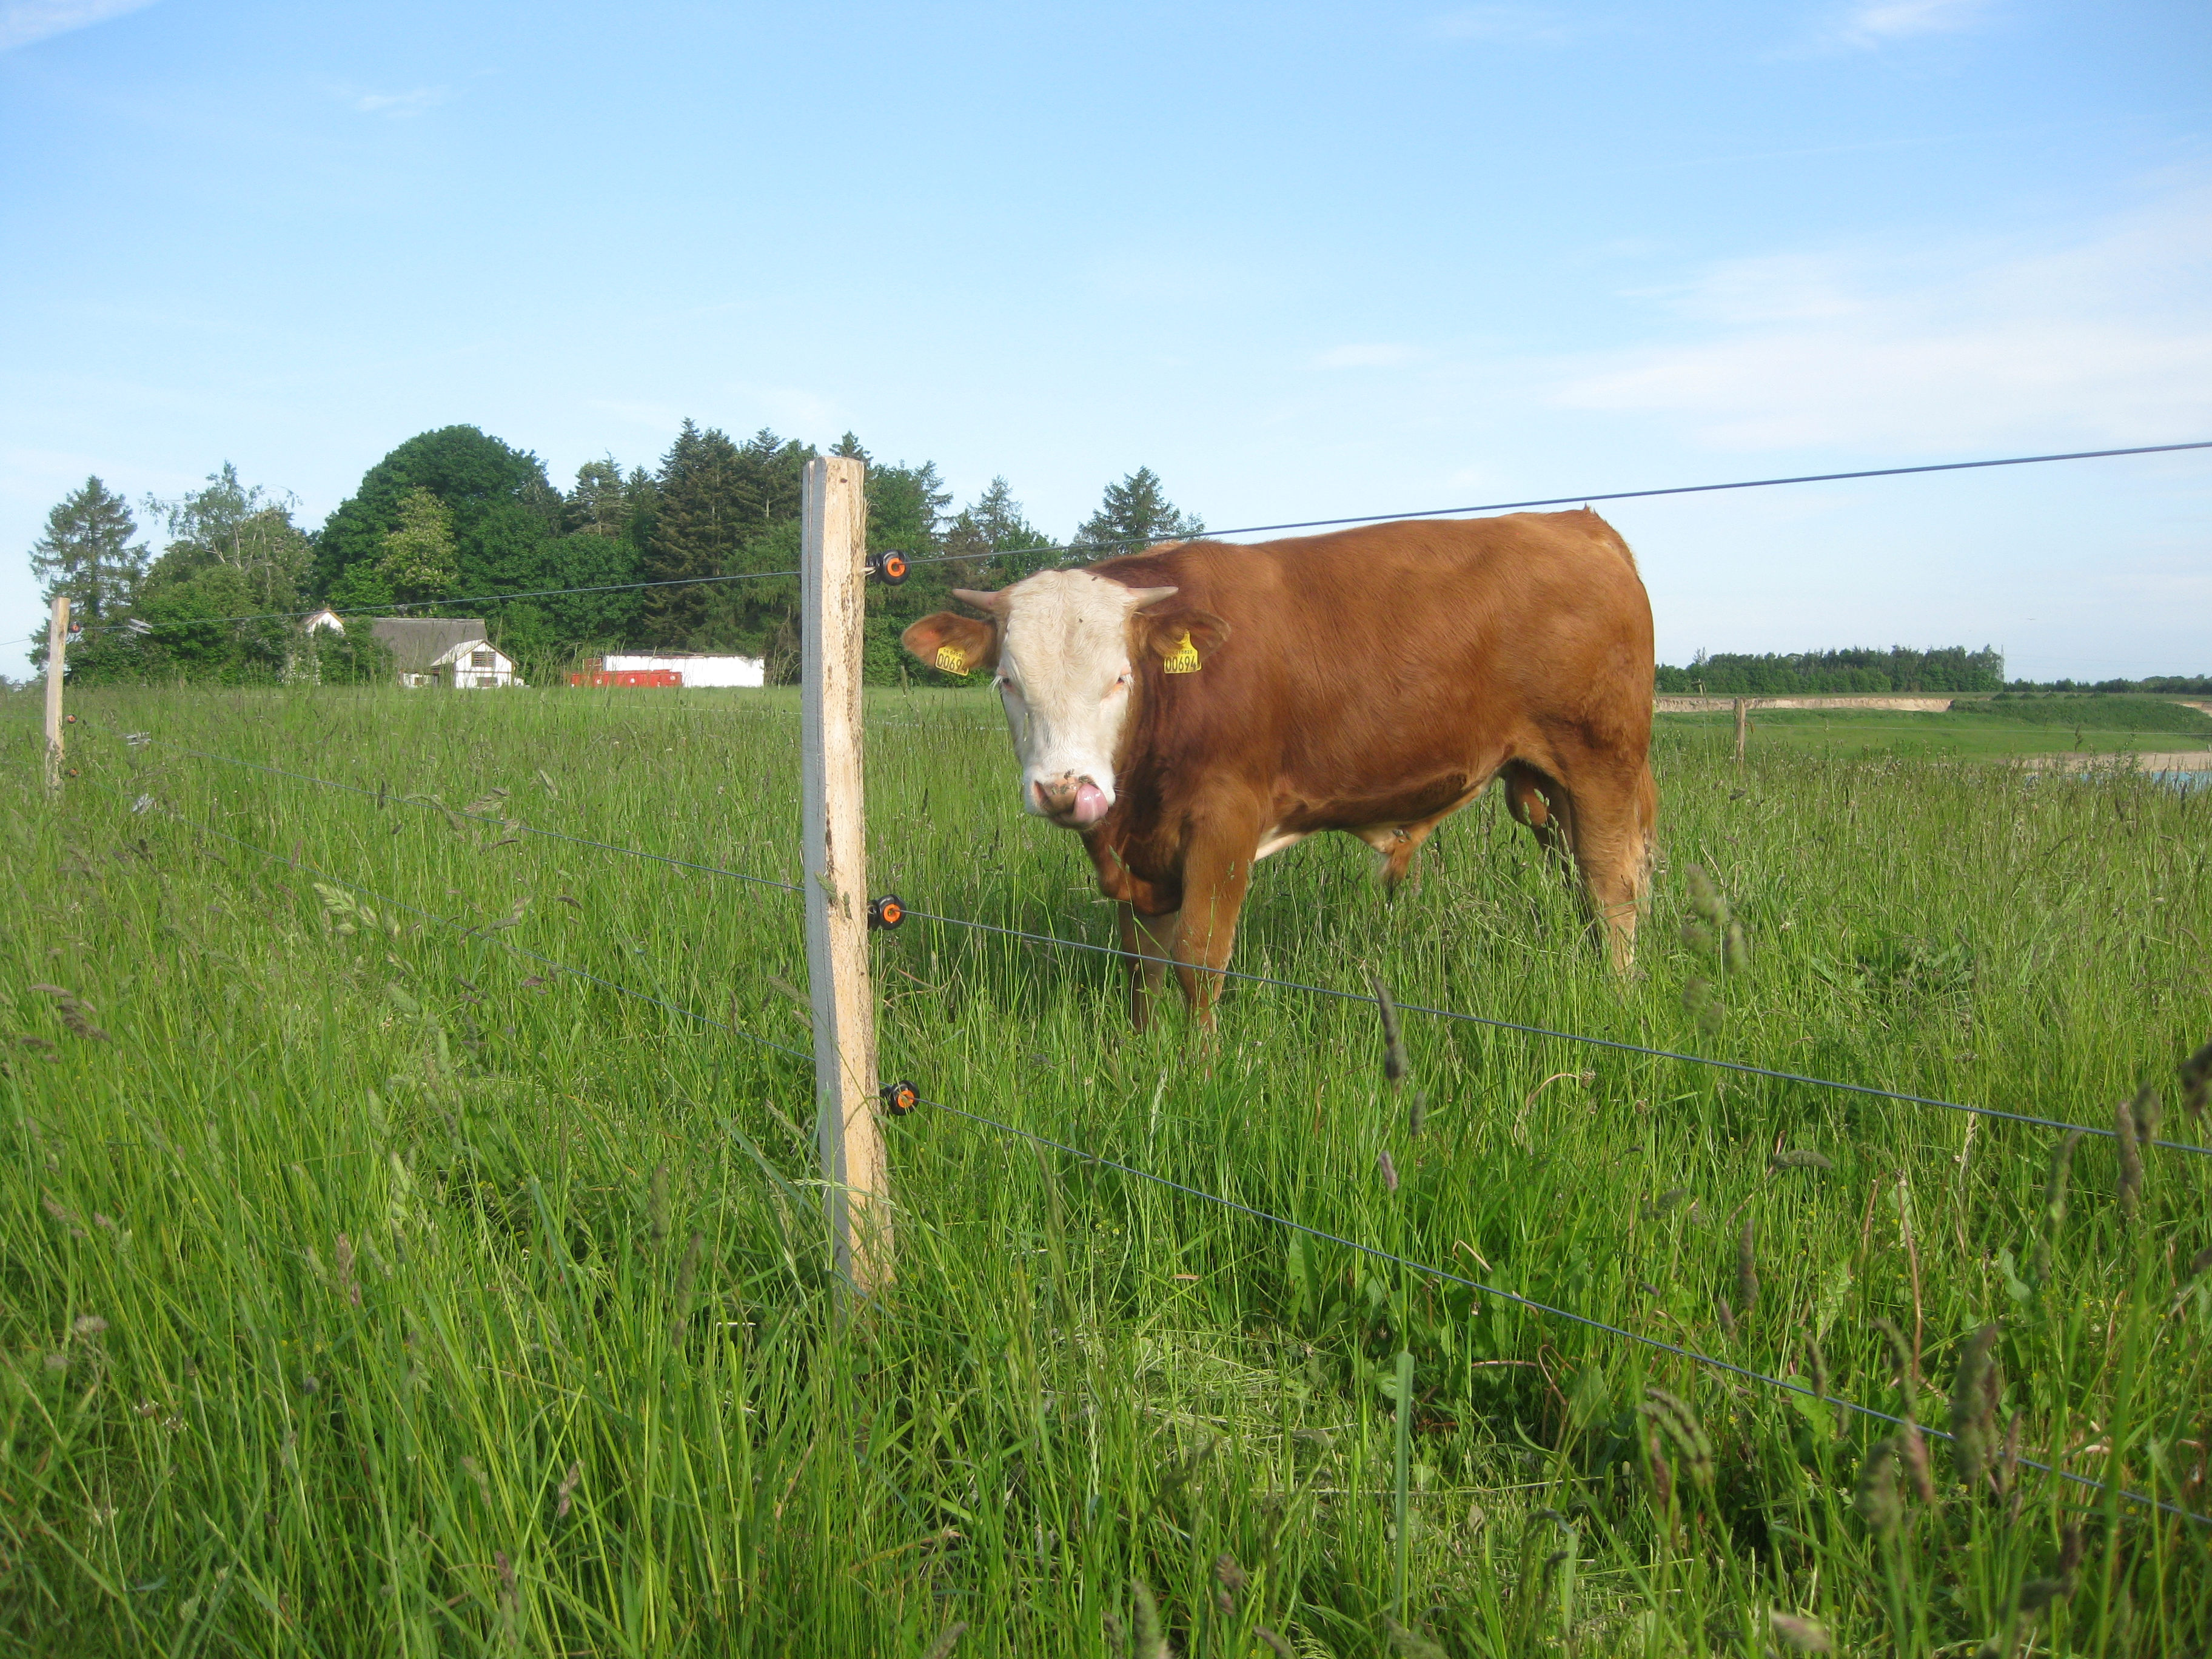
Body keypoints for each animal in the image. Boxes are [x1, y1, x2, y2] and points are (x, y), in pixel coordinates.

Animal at [902, 513, 1663, 1026]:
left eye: (1121, 677)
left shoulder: (1226, 821)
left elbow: (1198, 960)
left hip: (1601, 762)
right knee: (1588, 887)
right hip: (1553, 783)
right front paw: (1141, 1057)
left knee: (1613, 889)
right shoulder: (1141, 848)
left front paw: (1199, 1071)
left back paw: (1619, 999)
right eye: (1007, 682)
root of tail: (1577, 523)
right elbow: (1142, 966)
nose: (1065, 789)